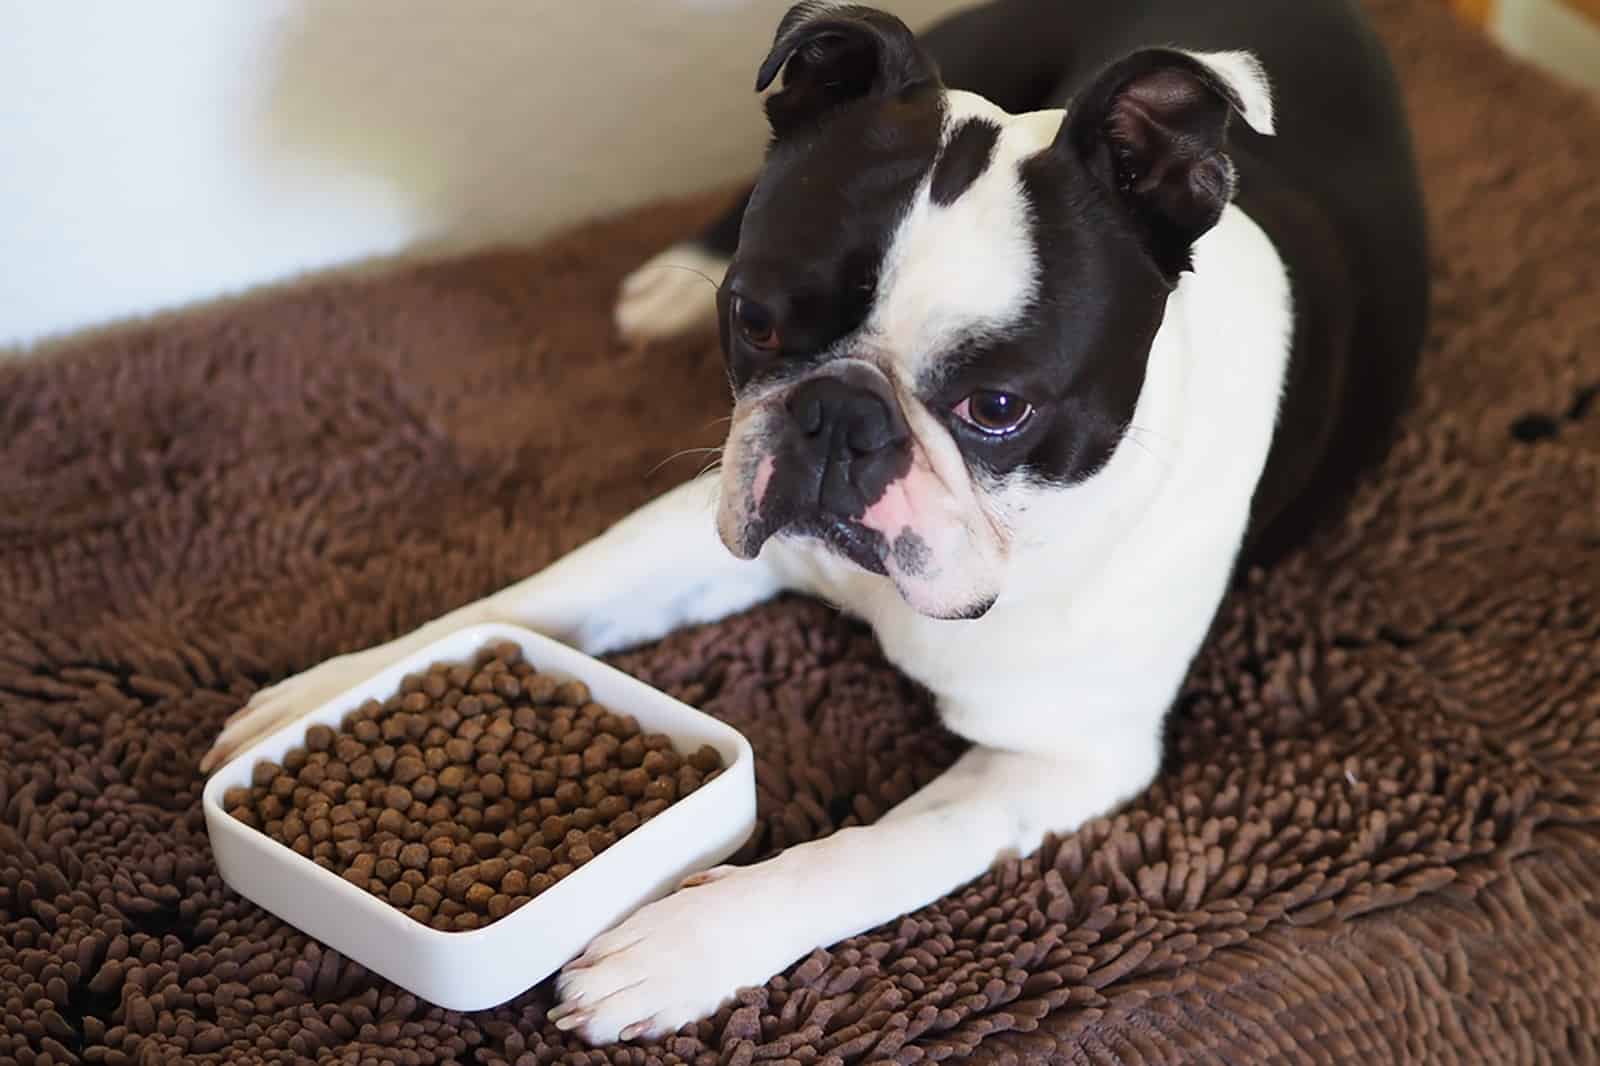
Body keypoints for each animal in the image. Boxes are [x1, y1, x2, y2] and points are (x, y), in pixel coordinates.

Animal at [206, 0, 1433, 1037]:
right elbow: (544, 594)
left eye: (999, 408)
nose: (840, 415)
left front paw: (689, 941)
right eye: (753, 321)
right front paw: (338, 687)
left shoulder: (1061, 757)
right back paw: (666, 277)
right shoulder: (702, 522)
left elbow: (875, 851)